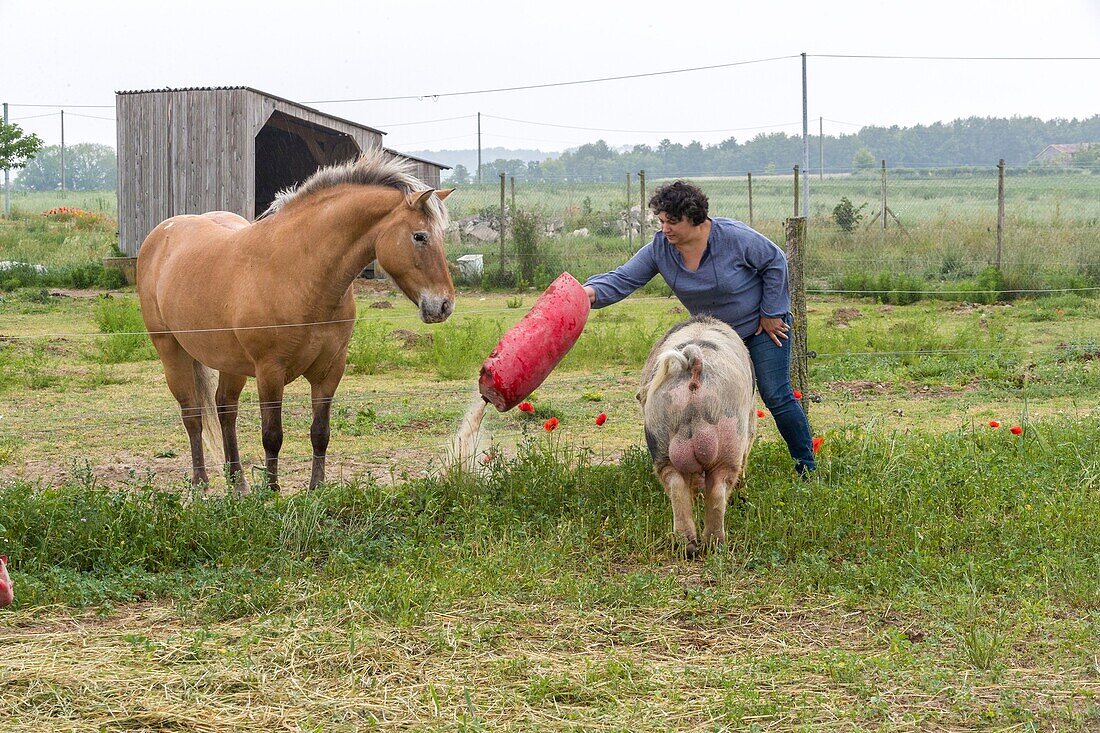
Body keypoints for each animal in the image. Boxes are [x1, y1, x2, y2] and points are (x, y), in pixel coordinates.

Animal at [137, 148, 455, 490]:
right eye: (419, 236)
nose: (444, 305)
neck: (299, 272)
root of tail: (161, 235)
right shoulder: (269, 371)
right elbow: (272, 435)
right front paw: (271, 490)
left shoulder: (330, 370)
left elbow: (320, 432)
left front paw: (316, 487)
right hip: (171, 350)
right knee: (192, 413)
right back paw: (200, 482)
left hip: (229, 360)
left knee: (225, 409)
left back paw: (238, 483)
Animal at [638, 314, 756, 554]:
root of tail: (695, 363)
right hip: (732, 436)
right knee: (719, 488)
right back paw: (715, 544)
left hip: (660, 435)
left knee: (676, 486)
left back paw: (689, 546)